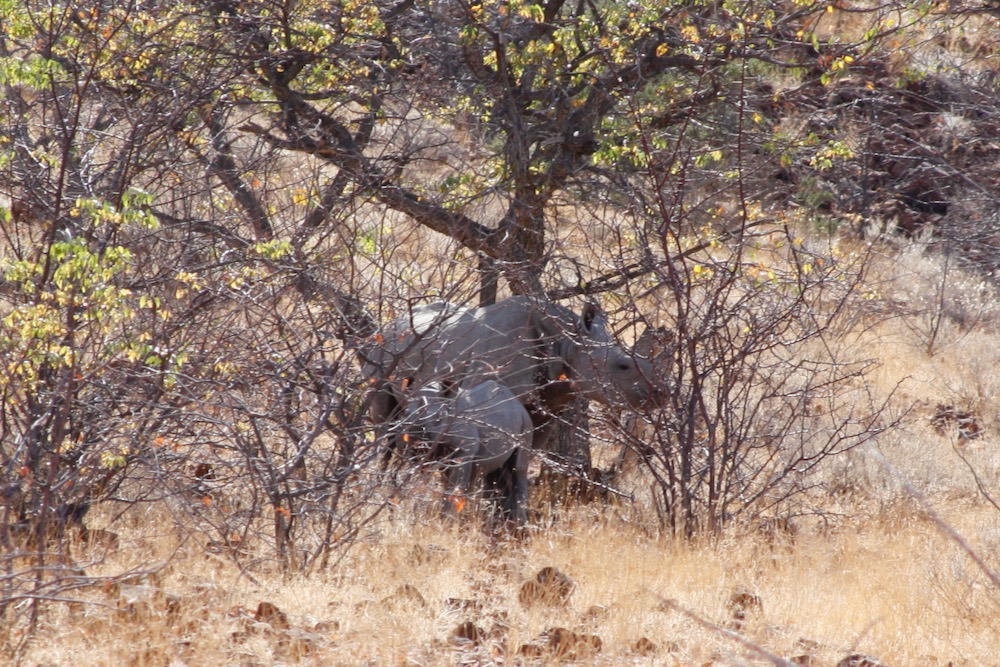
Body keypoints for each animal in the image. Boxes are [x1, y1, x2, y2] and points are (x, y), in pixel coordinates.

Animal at [402, 380, 536, 528]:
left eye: (439, 418)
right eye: (407, 415)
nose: (422, 437)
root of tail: (518, 404)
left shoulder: (464, 451)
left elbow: (455, 486)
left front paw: (447, 521)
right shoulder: (418, 454)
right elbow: (417, 481)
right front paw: (413, 514)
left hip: (526, 424)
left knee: (518, 468)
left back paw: (520, 526)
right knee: (494, 473)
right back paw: (502, 523)